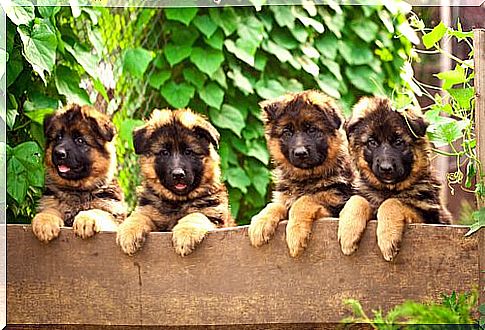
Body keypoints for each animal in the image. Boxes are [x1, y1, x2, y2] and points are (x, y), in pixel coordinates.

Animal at [31, 104, 125, 241]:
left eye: (80, 140)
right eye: (58, 137)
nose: (58, 153)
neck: (77, 190)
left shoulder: (113, 217)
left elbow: (98, 211)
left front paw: (86, 220)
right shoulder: (50, 203)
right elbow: (49, 210)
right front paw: (45, 223)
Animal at [115, 109, 233, 256]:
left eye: (188, 152)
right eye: (164, 152)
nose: (178, 174)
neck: (177, 202)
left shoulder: (214, 216)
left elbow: (196, 214)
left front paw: (186, 234)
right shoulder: (149, 211)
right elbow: (138, 216)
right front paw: (128, 233)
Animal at [250, 90, 352, 258]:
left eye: (312, 130)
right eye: (287, 132)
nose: (300, 153)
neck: (305, 178)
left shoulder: (336, 202)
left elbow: (304, 200)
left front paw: (295, 234)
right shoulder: (284, 198)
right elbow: (274, 205)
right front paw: (260, 222)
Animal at [336, 96, 450, 262]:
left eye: (398, 142)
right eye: (372, 142)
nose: (386, 168)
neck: (388, 189)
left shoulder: (429, 218)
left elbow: (393, 202)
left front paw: (388, 238)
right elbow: (357, 199)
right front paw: (348, 232)